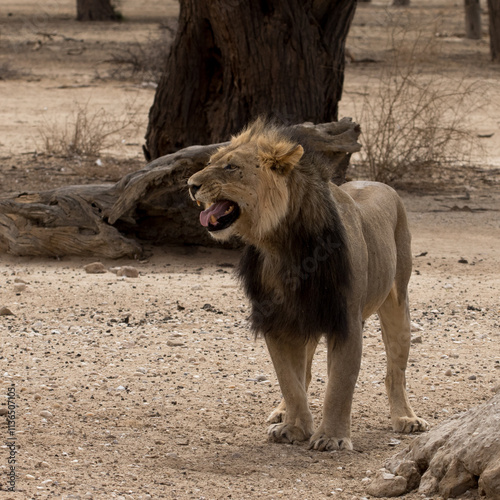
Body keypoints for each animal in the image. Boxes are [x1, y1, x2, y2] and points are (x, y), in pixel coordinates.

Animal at [188, 119, 430, 452]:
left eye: (231, 167)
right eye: (211, 162)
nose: (190, 184)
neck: (283, 244)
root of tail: (378, 183)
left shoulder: (345, 319)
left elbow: (339, 384)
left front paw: (332, 437)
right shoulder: (277, 320)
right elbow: (290, 382)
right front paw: (294, 427)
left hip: (397, 301)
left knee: (395, 371)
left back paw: (406, 418)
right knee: (306, 372)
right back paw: (281, 412)